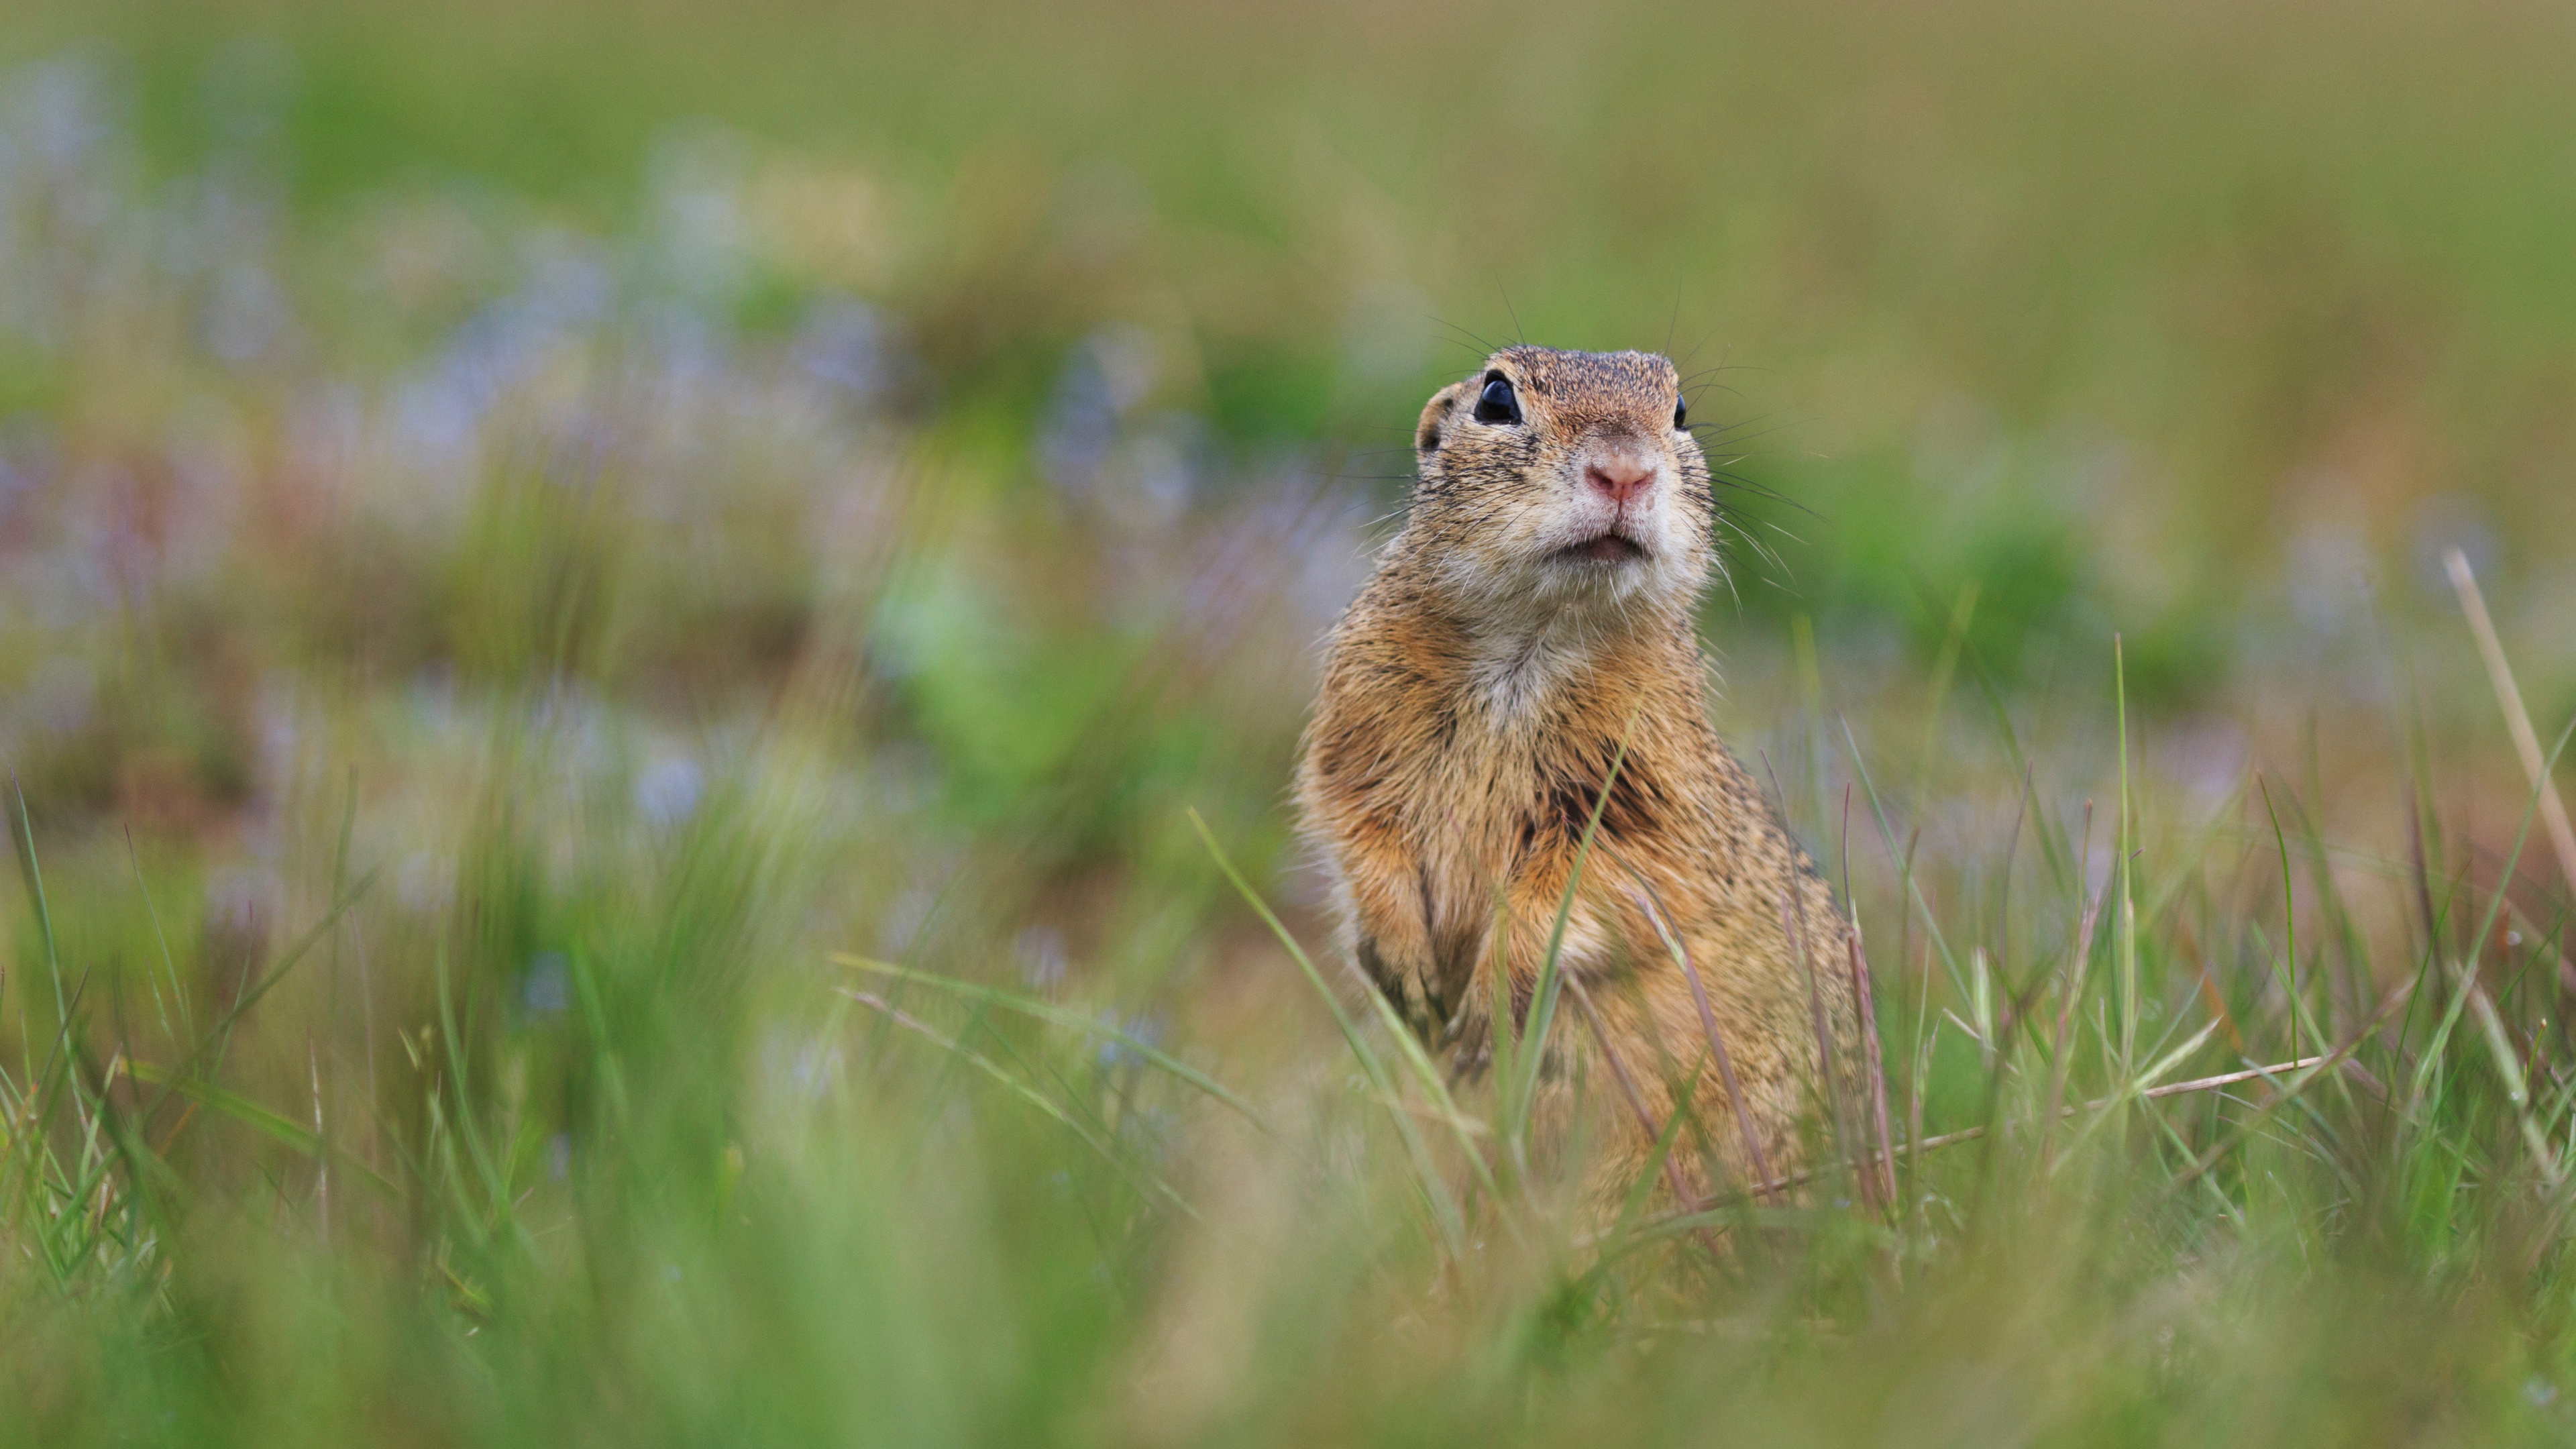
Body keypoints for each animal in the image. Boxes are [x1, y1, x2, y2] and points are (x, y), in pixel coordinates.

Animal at [1298, 340, 1865, 1206]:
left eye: (1680, 411)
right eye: (1496, 399)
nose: (1625, 473)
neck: (1537, 636)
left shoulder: (1654, 790)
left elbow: (1602, 881)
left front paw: (1487, 1008)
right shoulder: (1357, 723)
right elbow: (1356, 823)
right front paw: (1407, 972)